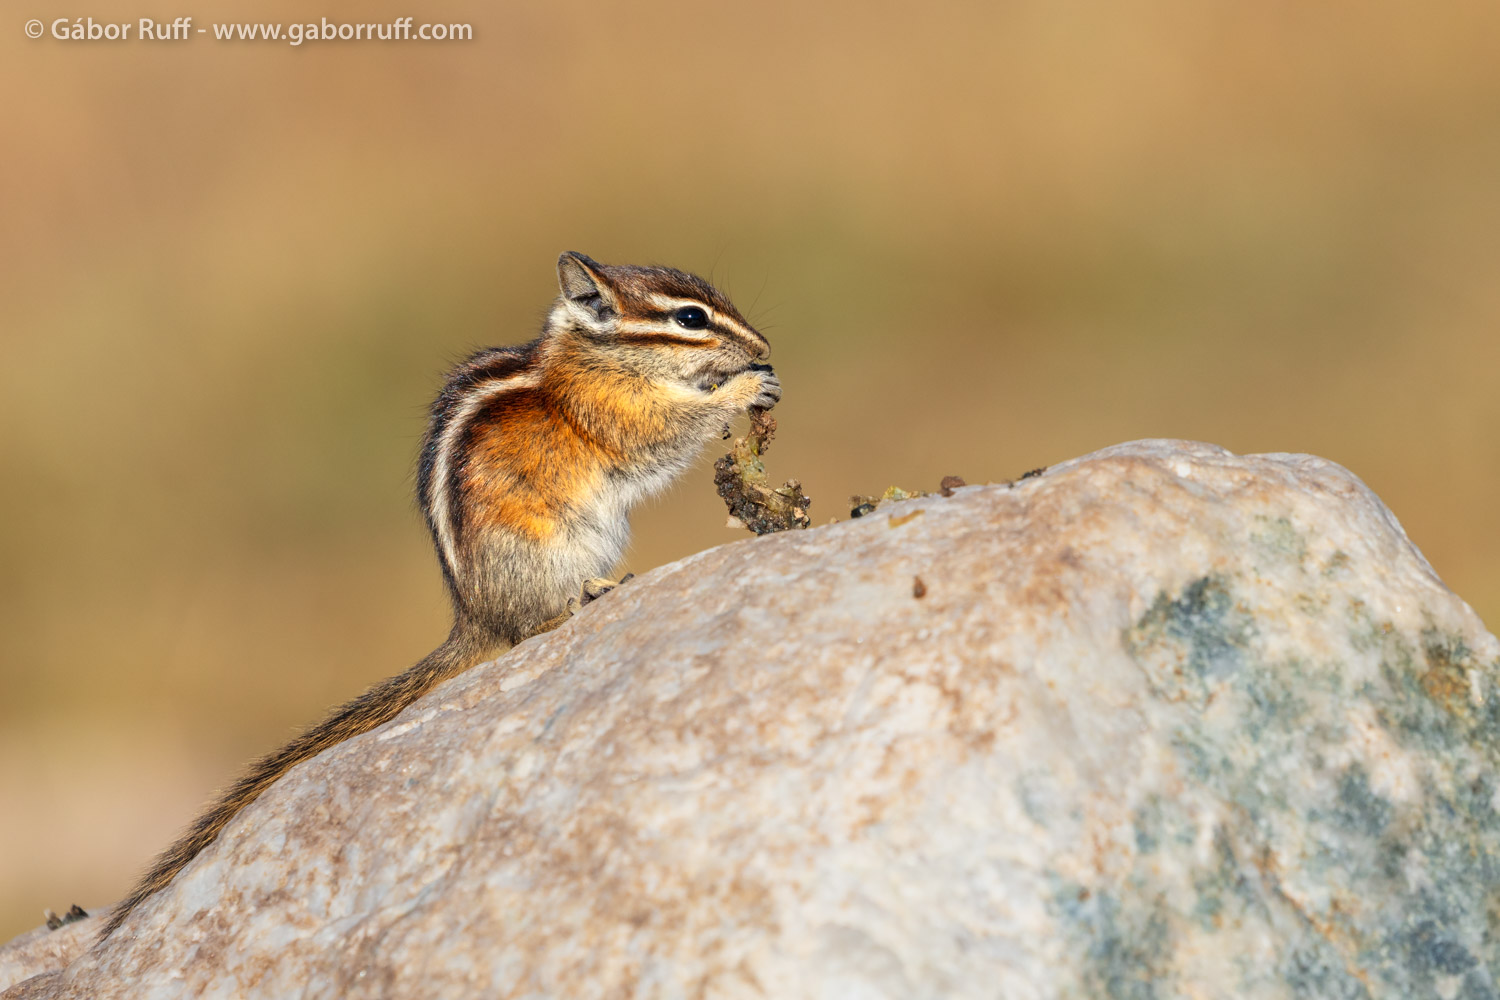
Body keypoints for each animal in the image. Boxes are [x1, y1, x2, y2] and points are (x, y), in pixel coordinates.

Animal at [99, 252, 780, 938]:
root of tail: (476, 618)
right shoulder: (616, 412)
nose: (764, 347)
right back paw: (585, 597)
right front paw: (744, 390)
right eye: (690, 319)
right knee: (531, 629)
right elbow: (666, 433)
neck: (593, 359)